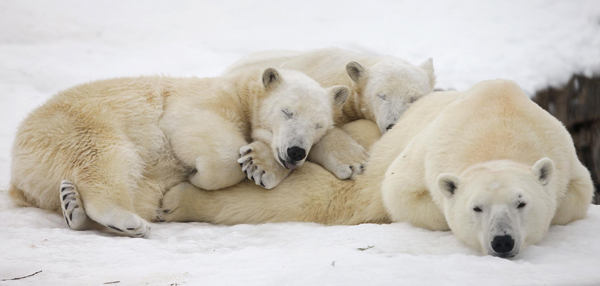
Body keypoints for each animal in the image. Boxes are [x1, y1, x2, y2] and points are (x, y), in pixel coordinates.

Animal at [8, 68, 352, 237]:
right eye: (287, 111)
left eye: (319, 124)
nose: (295, 152)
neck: (241, 92)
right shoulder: (205, 99)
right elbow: (193, 129)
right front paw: (199, 178)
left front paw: (260, 167)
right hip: (75, 124)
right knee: (106, 157)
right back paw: (127, 220)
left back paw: (73, 206)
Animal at [161, 79, 596, 258]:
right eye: (477, 207)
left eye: (522, 203)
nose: (502, 241)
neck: (499, 122)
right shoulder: (423, 154)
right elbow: (397, 193)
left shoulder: (565, 159)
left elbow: (575, 197)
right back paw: (179, 200)